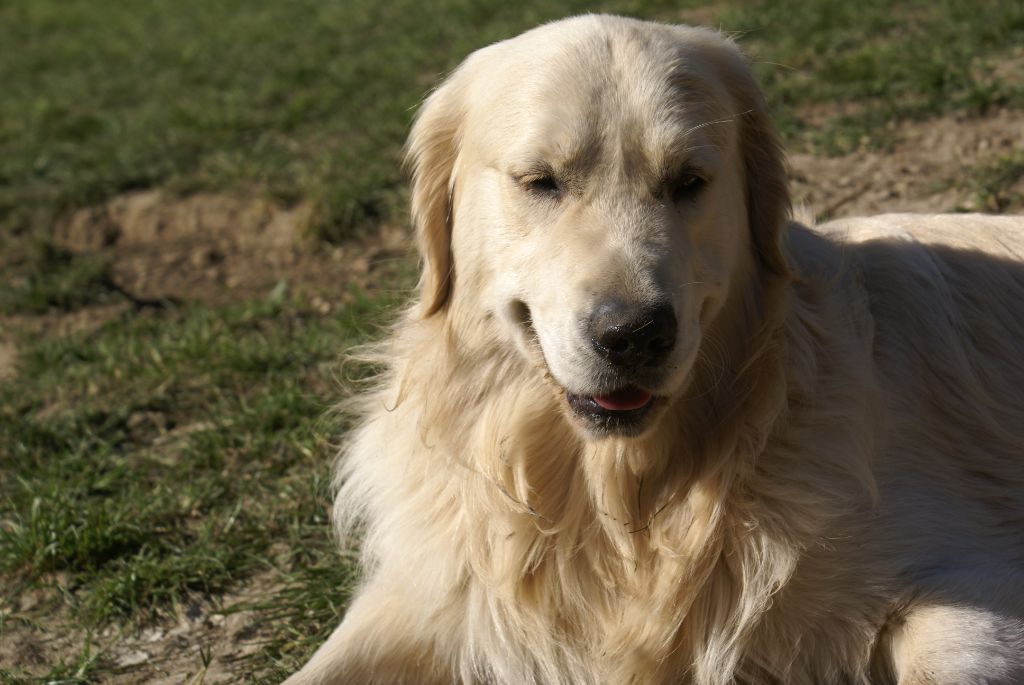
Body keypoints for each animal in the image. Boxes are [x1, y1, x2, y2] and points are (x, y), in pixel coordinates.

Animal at [284, 15, 1024, 683]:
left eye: (688, 181)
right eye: (540, 180)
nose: (634, 334)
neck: (620, 506)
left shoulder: (971, 578)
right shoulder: (433, 596)